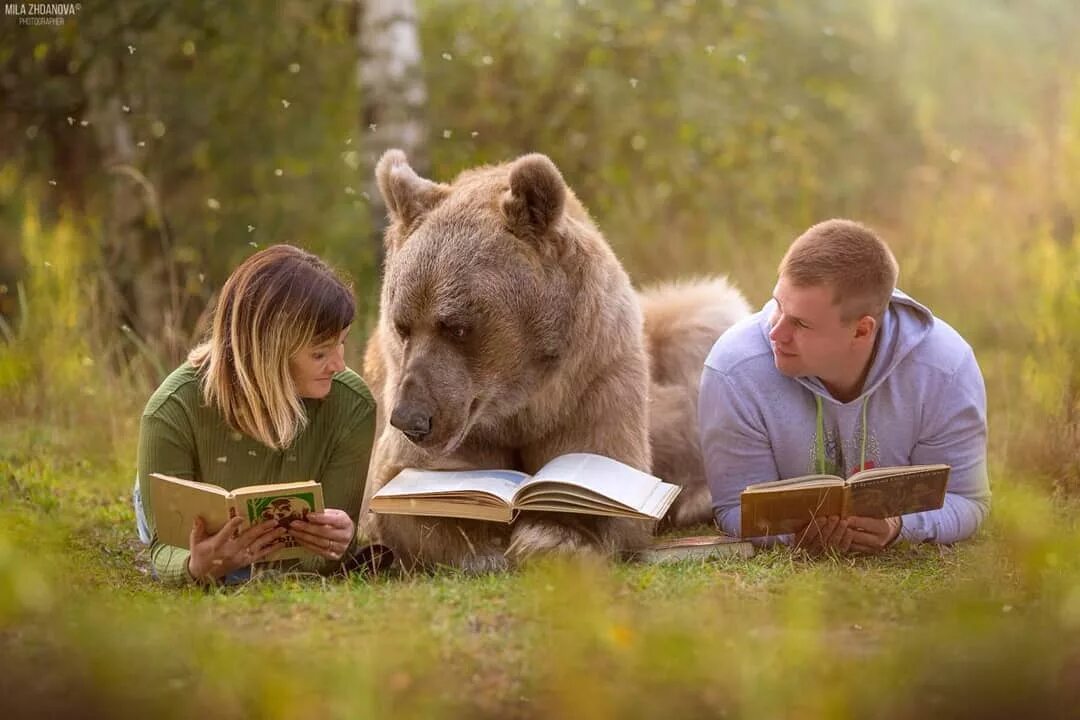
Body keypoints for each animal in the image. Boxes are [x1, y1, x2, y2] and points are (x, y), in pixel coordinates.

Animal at [358, 148, 747, 569]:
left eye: (457, 327)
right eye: (402, 325)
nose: (412, 419)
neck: (520, 398)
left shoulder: (592, 377)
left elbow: (596, 479)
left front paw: (551, 537)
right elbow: (406, 491)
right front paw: (483, 546)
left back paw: (696, 498)